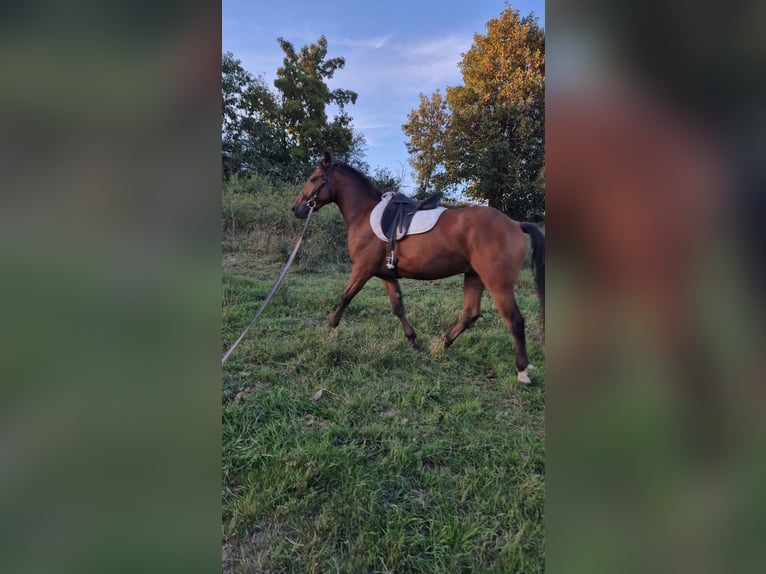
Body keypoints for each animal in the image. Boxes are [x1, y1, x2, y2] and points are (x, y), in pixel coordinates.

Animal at [292, 153, 545, 384]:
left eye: (314, 178)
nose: (296, 208)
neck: (364, 215)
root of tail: (515, 224)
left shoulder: (362, 270)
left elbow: (345, 297)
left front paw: (329, 329)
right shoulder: (386, 275)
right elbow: (398, 307)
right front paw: (412, 340)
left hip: (497, 284)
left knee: (514, 320)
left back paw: (522, 370)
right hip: (474, 276)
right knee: (470, 314)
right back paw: (443, 344)